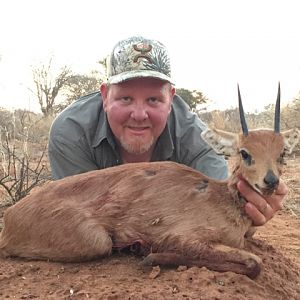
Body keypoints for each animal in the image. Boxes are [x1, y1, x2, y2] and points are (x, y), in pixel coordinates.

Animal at [0, 84, 300, 278]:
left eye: (282, 153)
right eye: (245, 153)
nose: (270, 181)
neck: (222, 200)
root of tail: (11, 214)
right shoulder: (183, 237)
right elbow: (254, 263)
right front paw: (148, 254)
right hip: (96, 241)